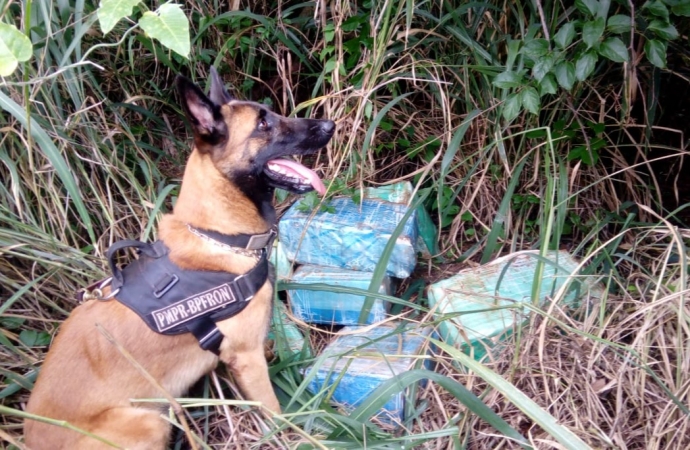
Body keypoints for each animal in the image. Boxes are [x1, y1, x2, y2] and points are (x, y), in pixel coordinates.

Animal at [22, 67, 334, 450]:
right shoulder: (248, 359)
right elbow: (276, 413)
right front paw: (298, 435)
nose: (330, 125)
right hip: (148, 421)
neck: (220, 236)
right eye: (263, 124)